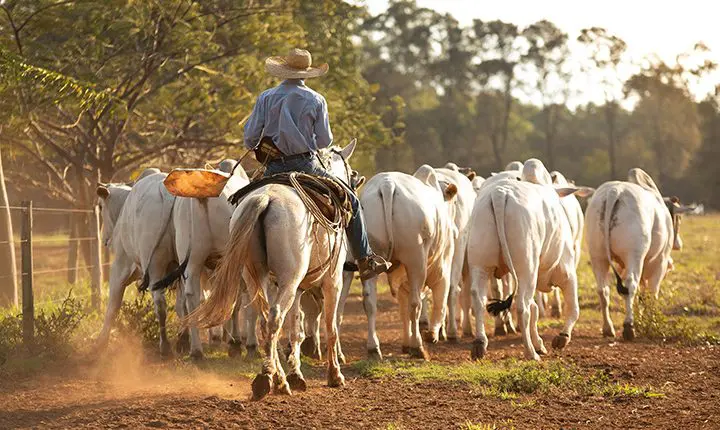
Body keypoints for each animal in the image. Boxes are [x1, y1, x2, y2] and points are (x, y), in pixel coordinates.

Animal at [191, 141, 358, 400]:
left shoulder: (298, 289)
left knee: (265, 321)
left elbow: (296, 331)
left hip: (256, 277)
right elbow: (330, 326)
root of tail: (265, 198)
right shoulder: (333, 282)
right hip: (289, 280)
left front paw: (296, 374)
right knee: (275, 318)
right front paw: (335, 375)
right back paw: (268, 380)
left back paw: (276, 378)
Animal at [358, 165, 456, 360]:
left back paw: (373, 348)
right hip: (416, 262)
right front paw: (431, 334)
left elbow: (402, 309)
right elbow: (440, 303)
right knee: (415, 304)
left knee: (370, 302)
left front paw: (405, 343)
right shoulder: (443, 269)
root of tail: (387, 184)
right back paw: (418, 346)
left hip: (369, 261)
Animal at [466, 160, 592, 360]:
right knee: (521, 307)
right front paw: (561, 338)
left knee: (479, 299)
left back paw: (480, 344)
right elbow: (573, 308)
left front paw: (540, 343)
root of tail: (499, 195)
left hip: (480, 265)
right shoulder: (567, 273)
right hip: (527, 270)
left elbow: (536, 309)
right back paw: (530, 352)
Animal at [584, 168, 692, 340]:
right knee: (631, 285)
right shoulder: (660, 263)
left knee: (603, 290)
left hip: (597, 256)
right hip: (634, 256)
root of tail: (615, 191)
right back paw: (629, 327)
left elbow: (641, 296)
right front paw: (650, 323)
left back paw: (608, 328)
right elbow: (651, 294)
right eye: (679, 218)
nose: (678, 244)